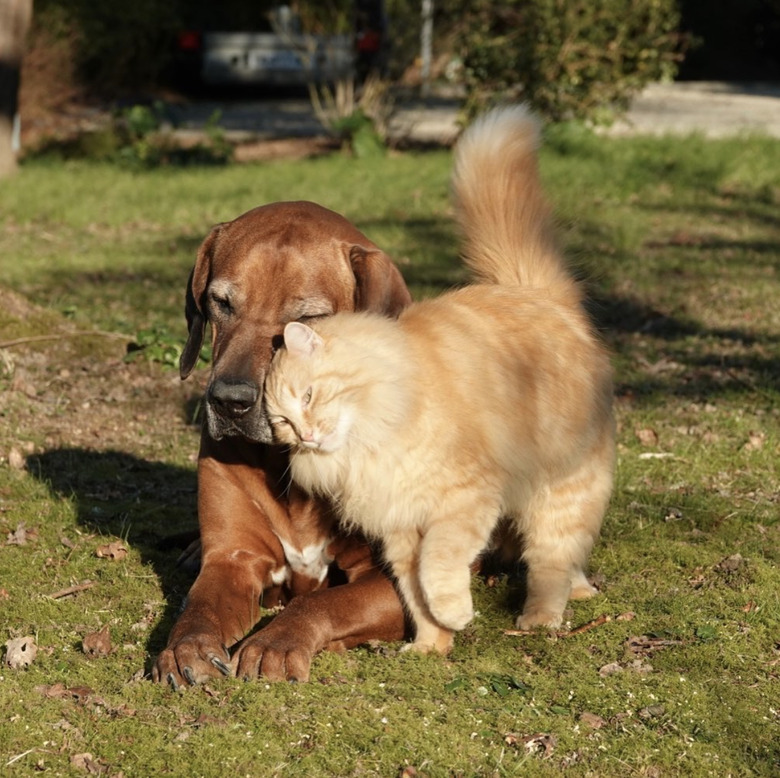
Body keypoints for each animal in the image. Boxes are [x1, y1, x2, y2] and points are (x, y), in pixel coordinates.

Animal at [151, 202, 408, 684]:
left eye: (305, 320)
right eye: (221, 302)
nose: (229, 402)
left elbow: (325, 600)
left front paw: (276, 640)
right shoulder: (234, 558)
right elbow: (199, 606)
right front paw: (185, 645)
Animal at [264, 103, 616, 648]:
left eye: (308, 396)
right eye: (281, 423)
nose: (303, 435)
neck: (372, 440)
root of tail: (535, 293)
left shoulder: (461, 502)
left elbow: (438, 568)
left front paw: (455, 613)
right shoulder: (399, 528)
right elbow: (414, 592)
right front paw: (430, 645)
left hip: (559, 486)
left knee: (550, 561)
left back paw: (540, 617)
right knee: (570, 553)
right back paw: (580, 591)